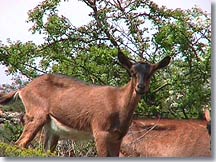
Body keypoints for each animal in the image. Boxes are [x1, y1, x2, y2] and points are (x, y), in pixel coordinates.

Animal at [0, 51, 170, 156]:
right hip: (36, 115)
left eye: (151, 74)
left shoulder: (118, 136)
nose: (140, 87)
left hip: (51, 128)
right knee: (19, 144)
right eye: (132, 72)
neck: (118, 103)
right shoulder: (100, 130)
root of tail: (23, 90)